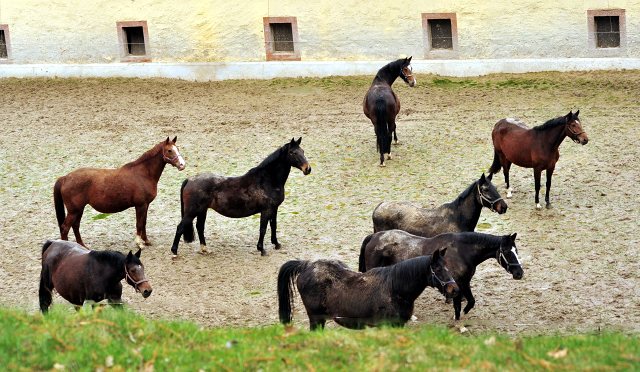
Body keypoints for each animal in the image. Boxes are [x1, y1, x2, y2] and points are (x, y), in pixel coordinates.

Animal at [54, 135, 186, 248]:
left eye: (178, 148)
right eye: (169, 150)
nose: (182, 165)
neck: (143, 174)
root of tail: (65, 178)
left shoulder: (146, 205)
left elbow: (144, 223)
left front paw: (146, 240)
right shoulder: (140, 205)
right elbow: (139, 223)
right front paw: (139, 243)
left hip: (78, 210)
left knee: (75, 226)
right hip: (74, 211)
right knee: (65, 228)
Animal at [170, 138, 310, 258]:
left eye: (302, 151)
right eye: (293, 153)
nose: (307, 169)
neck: (268, 179)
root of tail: (189, 180)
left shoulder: (274, 209)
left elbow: (273, 226)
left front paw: (276, 244)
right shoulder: (266, 210)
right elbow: (263, 229)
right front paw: (262, 249)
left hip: (202, 211)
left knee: (200, 227)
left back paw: (205, 249)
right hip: (192, 212)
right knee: (180, 228)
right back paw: (174, 252)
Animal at [278, 248, 458, 330]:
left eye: (447, 267)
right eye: (438, 269)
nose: (454, 290)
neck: (395, 289)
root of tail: (306, 265)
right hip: (315, 318)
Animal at [358, 230, 524, 320]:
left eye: (516, 250)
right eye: (507, 252)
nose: (519, 273)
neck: (463, 251)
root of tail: (373, 237)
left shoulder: (463, 283)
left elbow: (470, 302)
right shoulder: (458, 285)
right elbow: (458, 306)